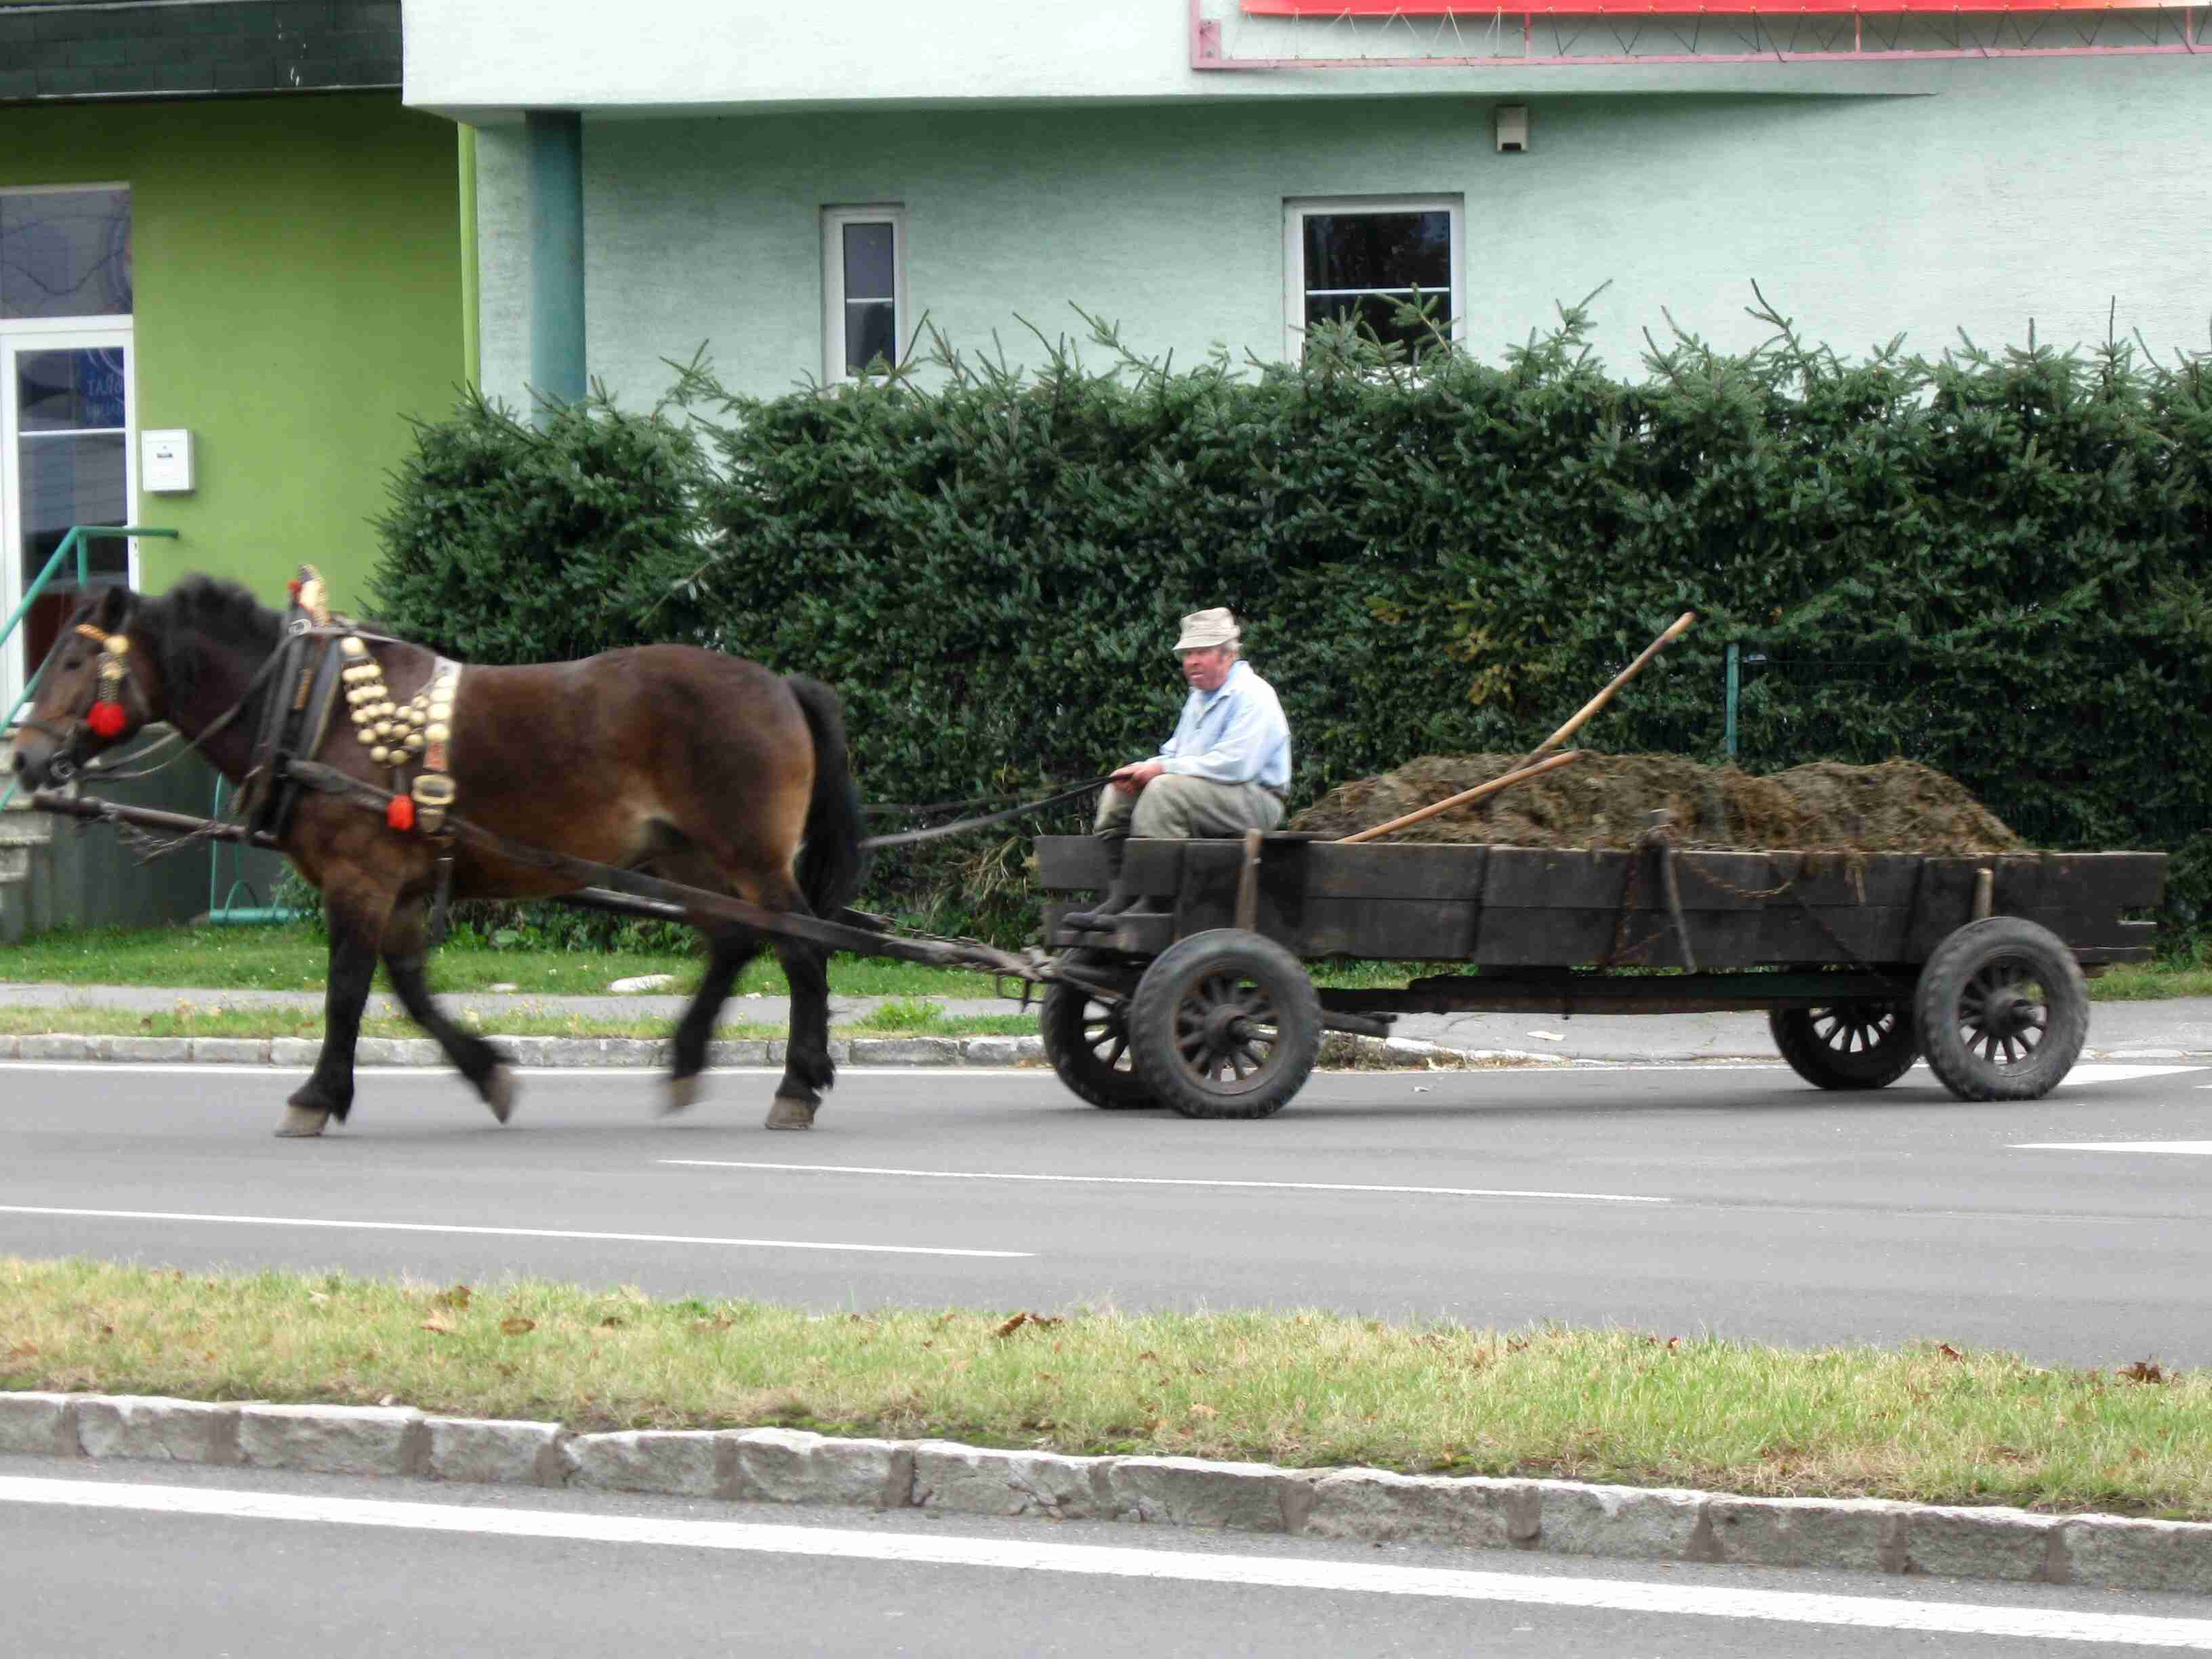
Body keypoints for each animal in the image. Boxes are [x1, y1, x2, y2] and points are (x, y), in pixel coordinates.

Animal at [8, 579, 862, 1141]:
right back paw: (688, 1061)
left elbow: (348, 993)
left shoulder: (359, 880)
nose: (25, 758)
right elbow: (412, 992)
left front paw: (316, 1096)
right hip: (690, 860)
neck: (314, 711)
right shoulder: (399, 889)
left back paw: (797, 1084)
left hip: (751, 857)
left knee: (801, 951)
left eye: (74, 665)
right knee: (736, 943)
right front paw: (489, 1074)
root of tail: (779, 684)